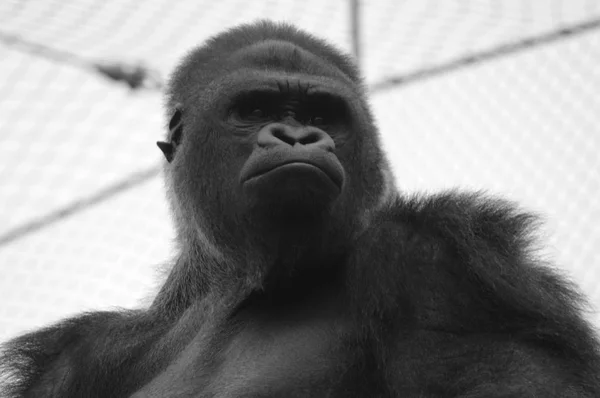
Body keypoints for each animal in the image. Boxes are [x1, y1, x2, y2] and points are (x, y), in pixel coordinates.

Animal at [1, 21, 600, 398]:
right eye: (255, 109)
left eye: (322, 114)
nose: (298, 136)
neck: (236, 286)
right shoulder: (79, 358)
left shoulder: (439, 263)